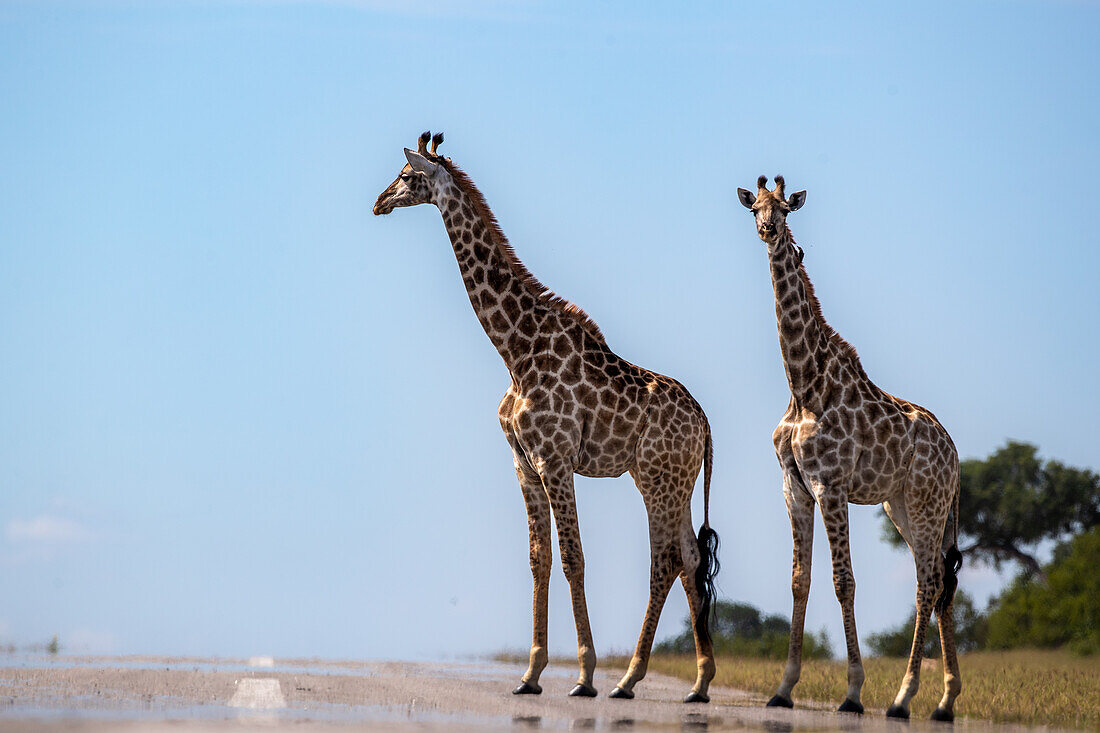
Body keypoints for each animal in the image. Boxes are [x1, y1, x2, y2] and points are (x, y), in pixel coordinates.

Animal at [374, 132, 721, 704]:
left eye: (405, 175)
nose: (378, 201)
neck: (514, 348)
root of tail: (707, 426)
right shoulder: (522, 462)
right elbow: (538, 559)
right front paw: (530, 674)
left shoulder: (555, 458)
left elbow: (573, 557)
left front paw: (583, 675)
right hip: (678, 480)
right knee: (690, 558)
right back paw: (698, 683)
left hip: (656, 478)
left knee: (666, 560)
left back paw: (627, 679)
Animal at [739, 177, 963, 717]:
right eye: (754, 208)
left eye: (784, 207)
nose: (768, 229)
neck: (803, 384)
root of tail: (957, 457)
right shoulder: (794, 489)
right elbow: (799, 580)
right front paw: (783, 688)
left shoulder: (831, 485)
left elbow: (844, 581)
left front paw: (854, 693)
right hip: (902, 505)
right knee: (940, 580)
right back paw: (945, 702)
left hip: (925, 503)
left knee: (928, 583)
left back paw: (903, 698)